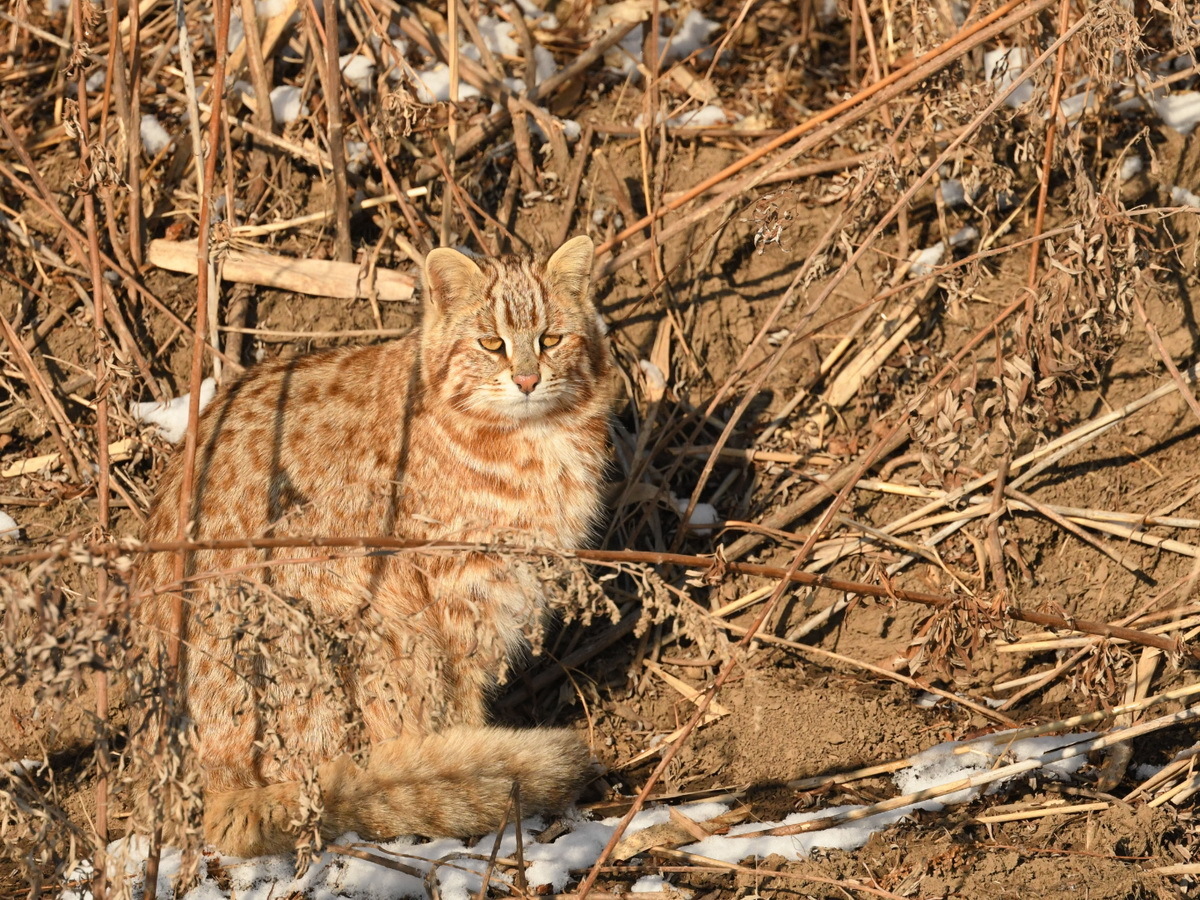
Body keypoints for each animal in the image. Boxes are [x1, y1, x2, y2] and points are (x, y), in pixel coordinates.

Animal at [136, 236, 614, 854]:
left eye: (551, 339)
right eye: (491, 343)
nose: (528, 380)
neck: (534, 437)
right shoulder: (460, 595)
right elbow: (464, 700)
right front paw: (475, 756)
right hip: (376, 625)